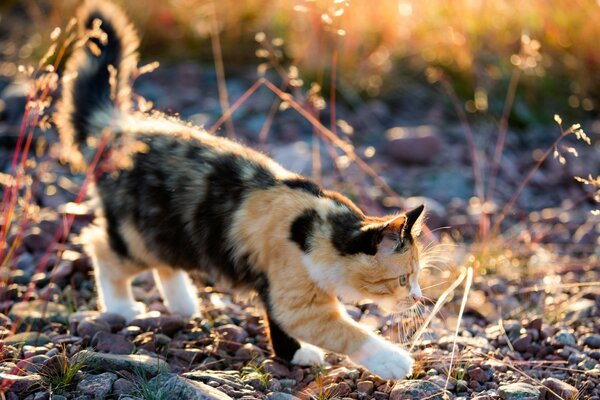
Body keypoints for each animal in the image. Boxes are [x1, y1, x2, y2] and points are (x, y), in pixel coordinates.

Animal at [54, 0, 424, 382]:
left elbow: (278, 325)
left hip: (168, 234)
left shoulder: (277, 287)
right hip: (138, 236)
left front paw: (295, 354)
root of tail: (118, 130)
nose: (417, 297)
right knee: (100, 248)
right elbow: (346, 331)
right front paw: (391, 359)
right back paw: (122, 307)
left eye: (415, 278)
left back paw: (183, 304)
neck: (321, 230)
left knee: (165, 265)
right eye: (402, 278)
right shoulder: (295, 297)